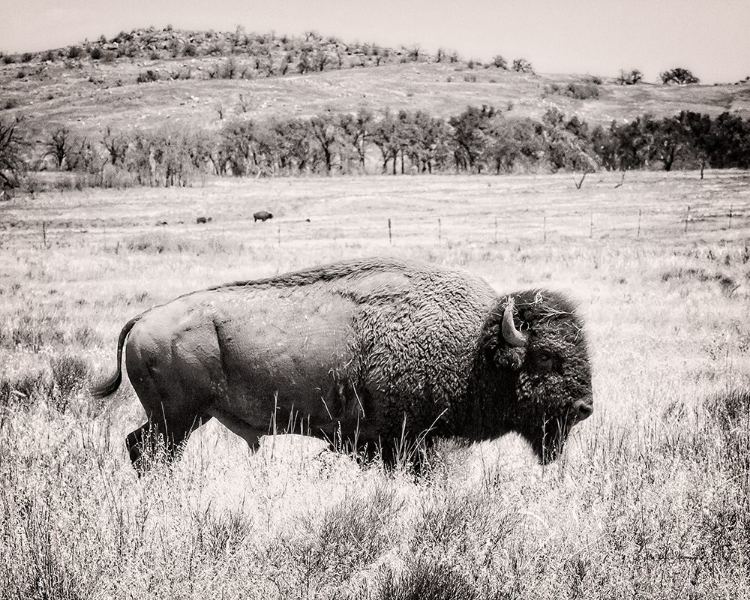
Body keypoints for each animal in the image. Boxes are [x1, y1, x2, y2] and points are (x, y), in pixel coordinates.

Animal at [92, 255, 592, 472]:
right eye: (546, 356)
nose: (585, 407)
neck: (474, 347)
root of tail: (144, 318)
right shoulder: (403, 441)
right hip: (177, 419)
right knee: (146, 450)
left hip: (179, 420)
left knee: (137, 445)